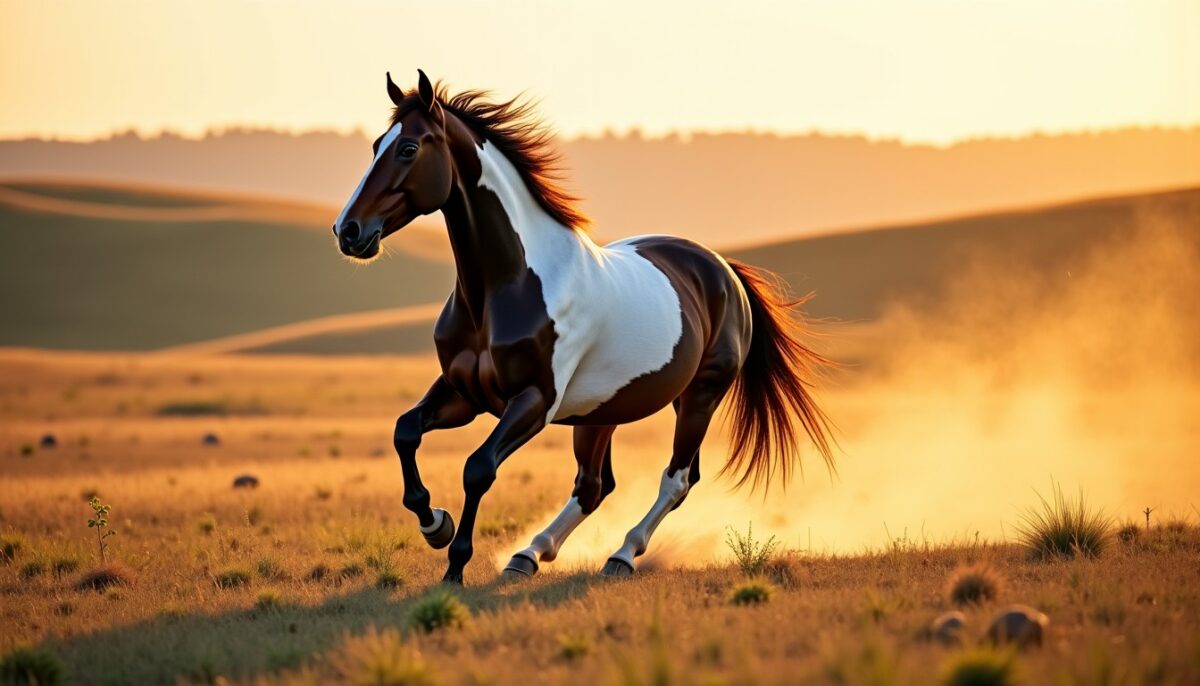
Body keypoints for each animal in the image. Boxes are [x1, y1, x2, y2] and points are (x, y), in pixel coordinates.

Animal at [333, 70, 835, 584]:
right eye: (375, 145)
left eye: (408, 148)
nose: (348, 231)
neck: (506, 287)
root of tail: (723, 270)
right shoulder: (464, 393)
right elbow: (405, 432)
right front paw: (434, 524)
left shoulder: (534, 401)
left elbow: (478, 468)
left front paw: (454, 563)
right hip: (604, 411)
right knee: (595, 485)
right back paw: (528, 555)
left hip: (700, 396)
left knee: (676, 480)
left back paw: (621, 556)